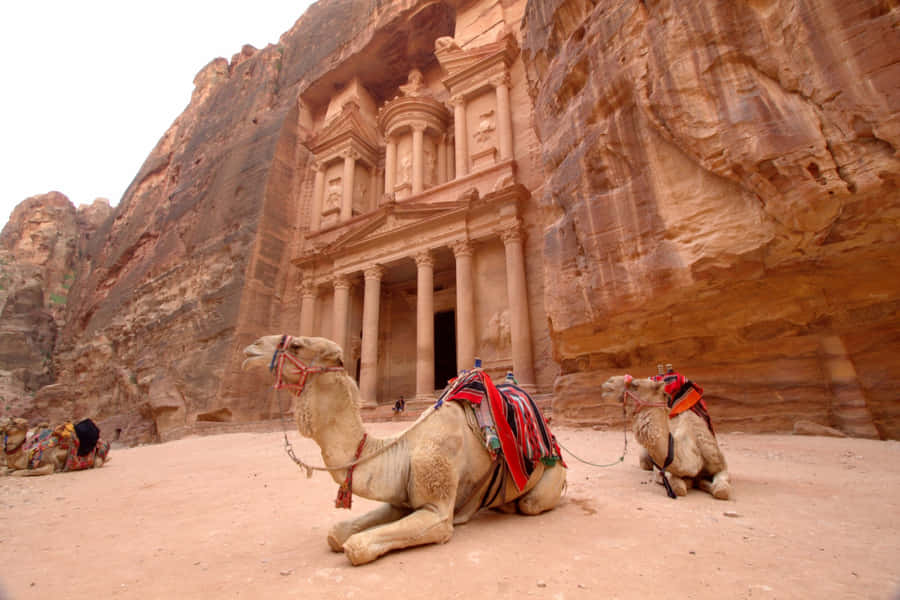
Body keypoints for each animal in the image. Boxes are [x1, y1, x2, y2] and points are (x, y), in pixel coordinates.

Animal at [243, 334, 567, 565]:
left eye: (297, 345)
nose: (250, 350)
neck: (401, 448)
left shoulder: (436, 509)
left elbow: (355, 546)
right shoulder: (400, 500)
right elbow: (336, 535)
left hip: (549, 480)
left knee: (531, 503)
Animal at [601, 375, 731, 500]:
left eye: (635, 385)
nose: (608, 382)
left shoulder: (721, 465)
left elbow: (722, 491)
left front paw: (704, 483)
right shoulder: (666, 471)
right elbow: (679, 488)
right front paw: (694, 482)